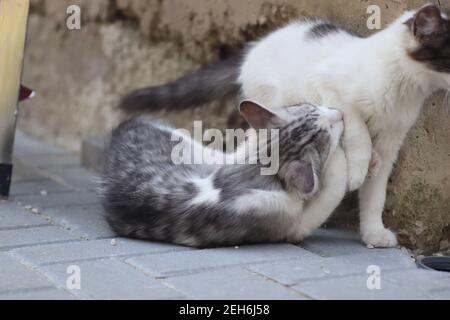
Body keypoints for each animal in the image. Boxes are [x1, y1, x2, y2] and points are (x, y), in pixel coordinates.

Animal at [99, 101, 344, 249]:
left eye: (311, 106)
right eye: (329, 133)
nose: (339, 113)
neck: (255, 167)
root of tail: (123, 127)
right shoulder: (292, 224)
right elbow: (330, 194)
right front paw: (341, 161)